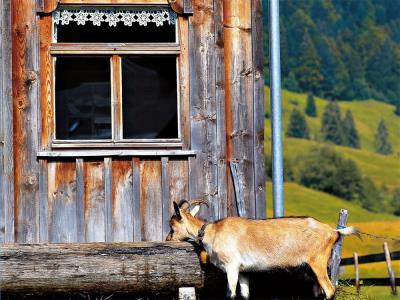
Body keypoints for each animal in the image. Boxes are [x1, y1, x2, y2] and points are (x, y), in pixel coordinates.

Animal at [166, 200, 360, 298]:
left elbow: (230, 294)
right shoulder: (244, 271)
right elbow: (245, 295)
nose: (168, 238)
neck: (212, 231)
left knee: (330, 290)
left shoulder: (232, 266)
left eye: (172, 225)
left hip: (317, 261)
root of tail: (333, 231)